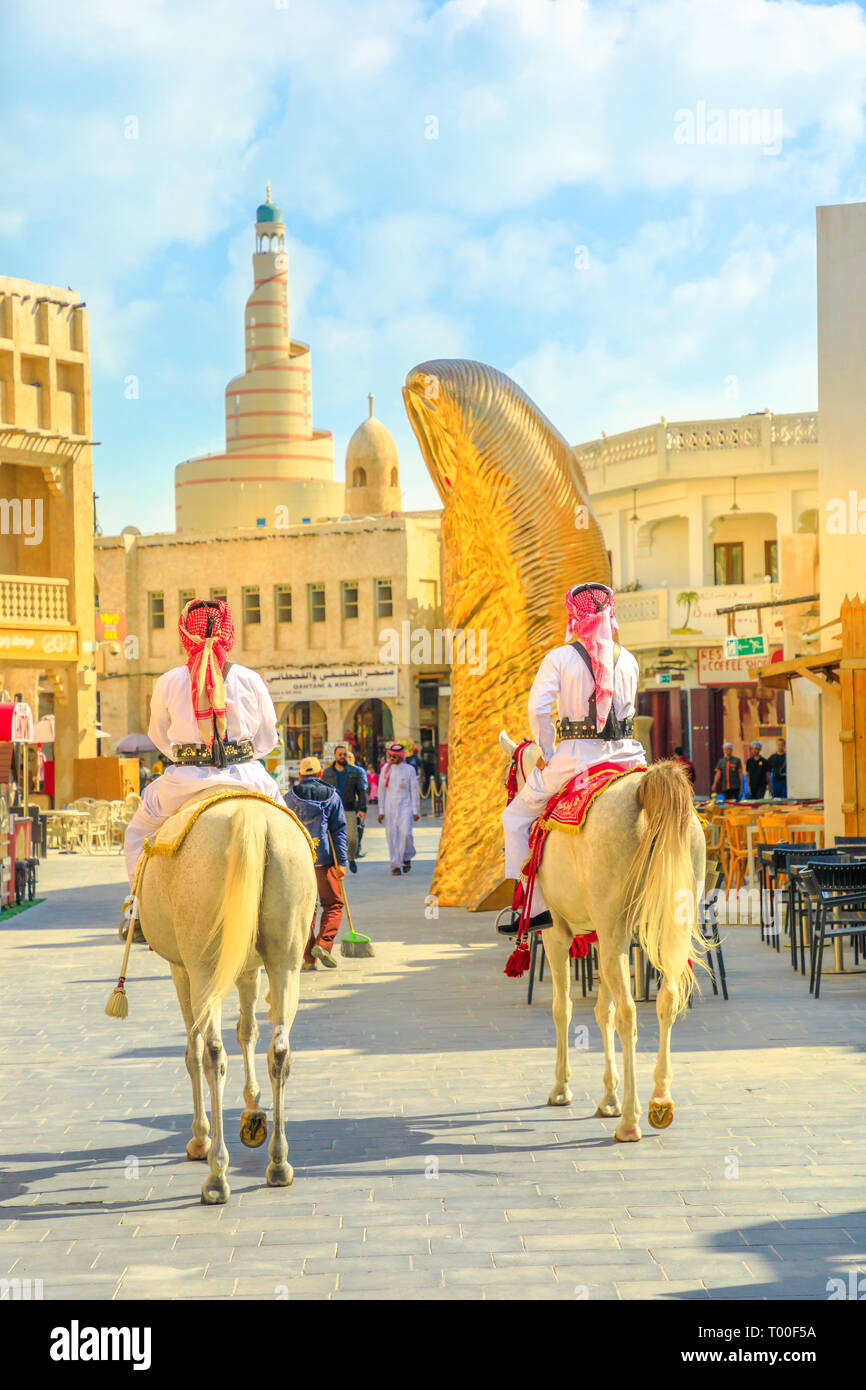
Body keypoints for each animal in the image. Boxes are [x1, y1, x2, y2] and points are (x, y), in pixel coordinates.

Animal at [139, 800, 318, 1200]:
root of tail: (248, 815)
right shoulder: (249, 966)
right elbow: (248, 1030)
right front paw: (253, 1111)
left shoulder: (182, 969)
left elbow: (193, 1050)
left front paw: (200, 1137)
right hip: (286, 959)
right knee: (279, 1051)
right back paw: (279, 1163)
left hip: (204, 965)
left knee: (212, 1054)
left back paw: (216, 1173)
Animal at [497, 733, 708, 1145]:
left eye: (507, 780)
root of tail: (644, 787)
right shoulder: (603, 938)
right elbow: (601, 1011)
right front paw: (608, 1097)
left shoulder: (557, 935)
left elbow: (563, 1008)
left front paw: (563, 1089)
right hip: (661, 930)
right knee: (666, 999)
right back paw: (660, 1100)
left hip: (614, 933)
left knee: (629, 1014)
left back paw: (630, 1119)